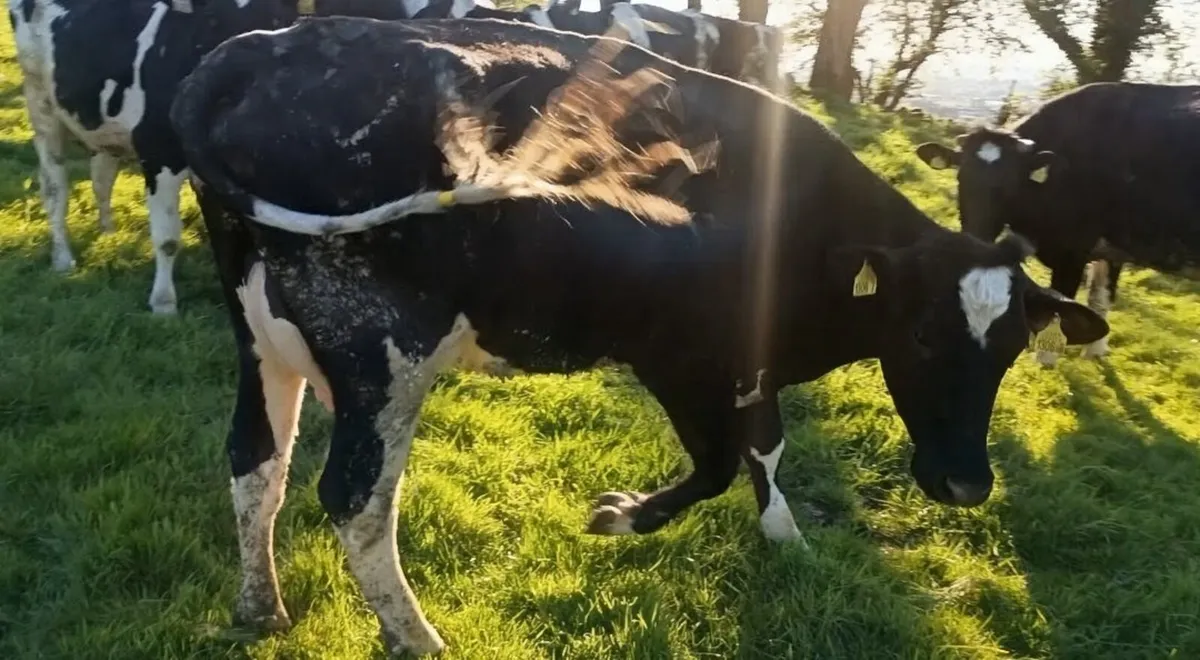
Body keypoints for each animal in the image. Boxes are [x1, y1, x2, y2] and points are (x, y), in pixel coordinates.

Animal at [7, 0, 546, 314]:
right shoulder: (158, 151)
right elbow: (167, 239)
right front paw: (163, 301)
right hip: (40, 106)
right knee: (55, 186)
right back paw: (63, 257)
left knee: (101, 171)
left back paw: (104, 229)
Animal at [169, 17, 1108, 656]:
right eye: (918, 335)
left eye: (1012, 349)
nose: (965, 484)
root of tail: (255, 49)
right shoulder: (677, 352)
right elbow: (723, 460)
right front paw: (626, 516)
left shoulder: (746, 359)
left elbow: (764, 443)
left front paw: (784, 535)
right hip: (381, 346)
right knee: (355, 498)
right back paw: (417, 636)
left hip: (262, 335)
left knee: (255, 461)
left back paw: (261, 606)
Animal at [914, 82, 1200, 365]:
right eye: (961, 177)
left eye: (1010, 184)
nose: (976, 238)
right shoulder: (1113, 247)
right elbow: (1101, 296)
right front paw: (1094, 353)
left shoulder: (1074, 252)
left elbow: (1060, 309)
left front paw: (1045, 362)